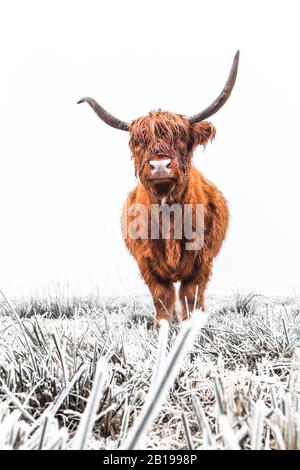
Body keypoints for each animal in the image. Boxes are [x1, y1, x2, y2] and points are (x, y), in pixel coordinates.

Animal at [78, 52, 240, 324]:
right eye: (138, 141)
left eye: (182, 137)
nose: (160, 165)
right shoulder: (148, 265)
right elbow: (163, 299)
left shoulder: (201, 262)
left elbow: (191, 298)